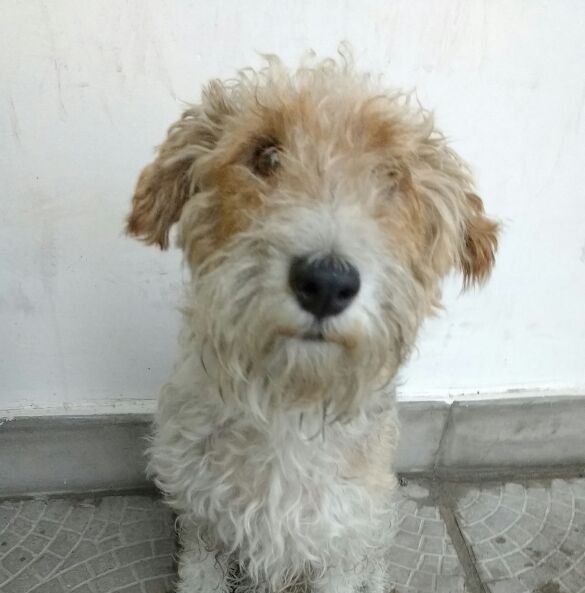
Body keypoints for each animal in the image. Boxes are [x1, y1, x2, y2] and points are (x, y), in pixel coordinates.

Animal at [126, 51, 498, 593]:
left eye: (393, 175)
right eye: (265, 155)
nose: (326, 282)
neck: (289, 401)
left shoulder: (339, 549)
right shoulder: (202, 529)